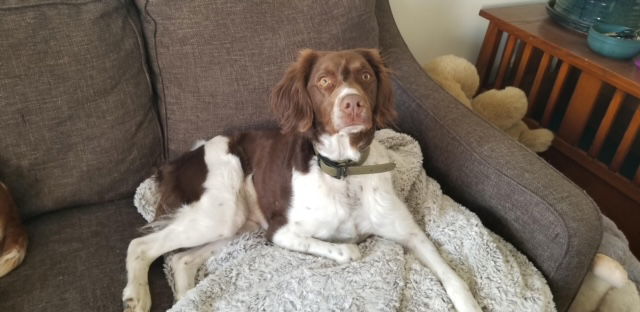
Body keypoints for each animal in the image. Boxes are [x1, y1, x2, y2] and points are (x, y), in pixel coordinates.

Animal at [122, 48, 480, 312]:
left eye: (365, 76)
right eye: (323, 81)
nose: (352, 103)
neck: (345, 172)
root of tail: (181, 158)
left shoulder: (410, 233)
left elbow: (453, 277)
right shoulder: (279, 231)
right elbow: (349, 250)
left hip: (236, 223)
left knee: (181, 258)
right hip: (220, 212)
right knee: (141, 245)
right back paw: (136, 296)